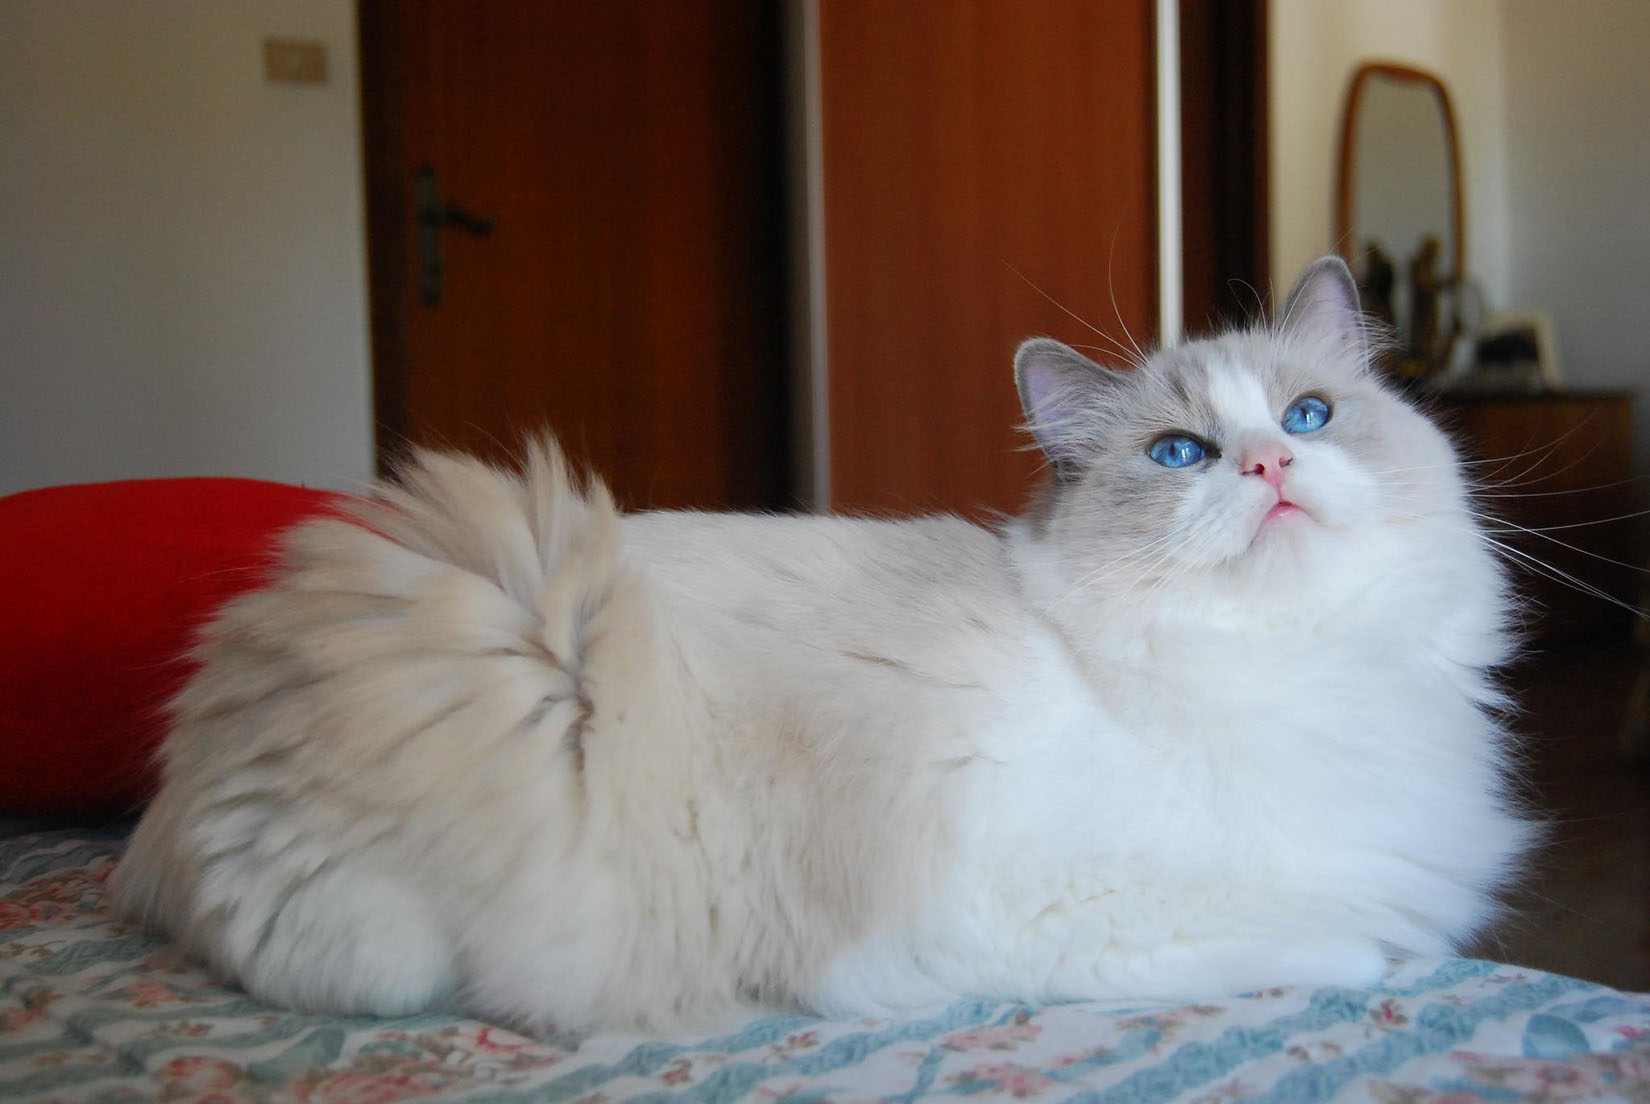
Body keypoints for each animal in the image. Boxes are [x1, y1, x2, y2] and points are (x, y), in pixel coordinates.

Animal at [113, 259, 1531, 1036]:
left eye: (1310, 416)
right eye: (1180, 454)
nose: (1270, 466)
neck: (1308, 671)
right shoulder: (1065, 919)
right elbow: (1350, 947)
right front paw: (1385, 960)